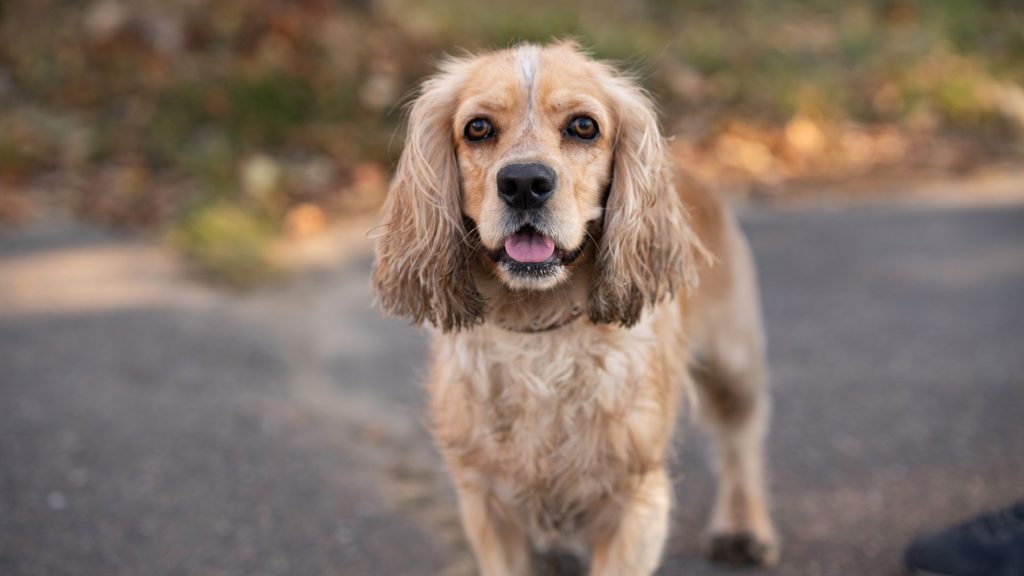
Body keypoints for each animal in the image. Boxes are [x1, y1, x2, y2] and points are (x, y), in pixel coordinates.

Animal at [372, 41, 778, 573]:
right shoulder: (486, 501)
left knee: (742, 444)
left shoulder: (637, 501)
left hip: (733, 365)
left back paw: (746, 529)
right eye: (477, 128)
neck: (541, 331)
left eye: (584, 126)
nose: (524, 182)